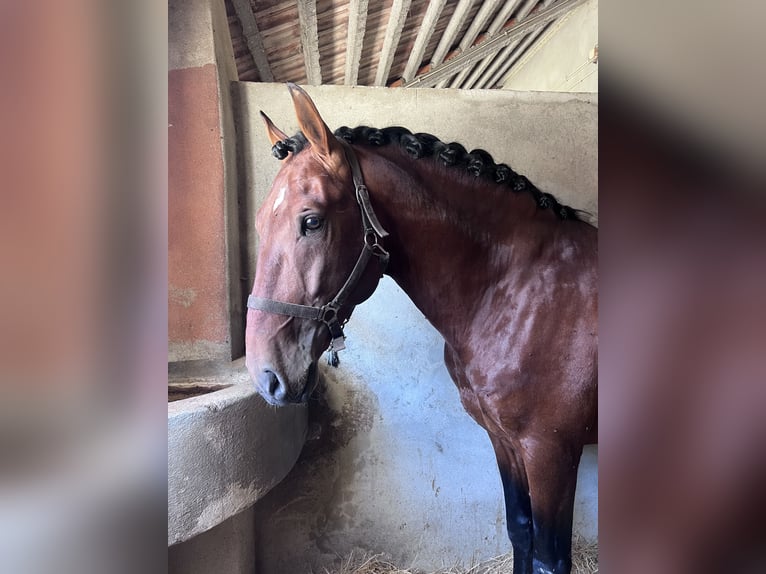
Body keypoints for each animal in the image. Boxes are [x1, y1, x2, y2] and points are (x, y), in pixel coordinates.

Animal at [245, 83, 597, 574]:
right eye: (260, 221)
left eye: (311, 220)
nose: (265, 374)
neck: (516, 287)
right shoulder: (505, 442)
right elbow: (520, 532)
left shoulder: (550, 452)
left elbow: (549, 558)